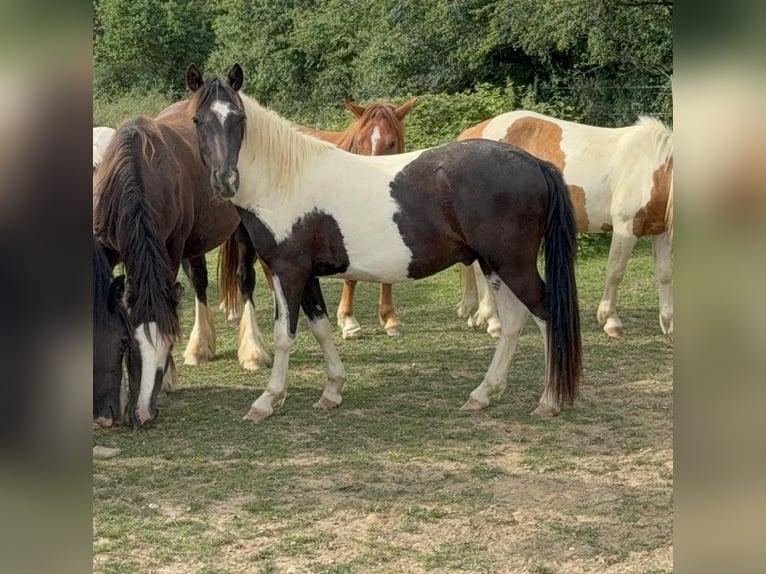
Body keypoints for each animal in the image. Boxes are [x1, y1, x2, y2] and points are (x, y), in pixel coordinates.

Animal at [92, 89, 271, 427]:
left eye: (166, 346)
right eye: (129, 343)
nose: (142, 414)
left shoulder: (171, 247)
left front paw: (167, 378)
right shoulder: (108, 248)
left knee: (246, 279)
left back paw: (253, 351)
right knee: (200, 282)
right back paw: (200, 347)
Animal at [185, 64, 583, 421]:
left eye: (239, 118)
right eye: (198, 121)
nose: (225, 180)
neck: (285, 180)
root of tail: (533, 163)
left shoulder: (288, 272)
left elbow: (286, 333)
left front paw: (267, 400)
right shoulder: (308, 276)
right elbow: (321, 327)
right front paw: (332, 391)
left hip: (512, 264)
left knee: (546, 315)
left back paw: (549, 400)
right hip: (493, 264)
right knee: (514, 321)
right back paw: (482, 394)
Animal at [456, 110, 673, 339]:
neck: (653, 170)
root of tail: (475, 132)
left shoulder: (660, 231)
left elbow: (664, 274)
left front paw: (668, 324)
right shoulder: (626, 227)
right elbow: (615, 272)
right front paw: (611, 321)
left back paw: (474, 316)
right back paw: (493, 322)